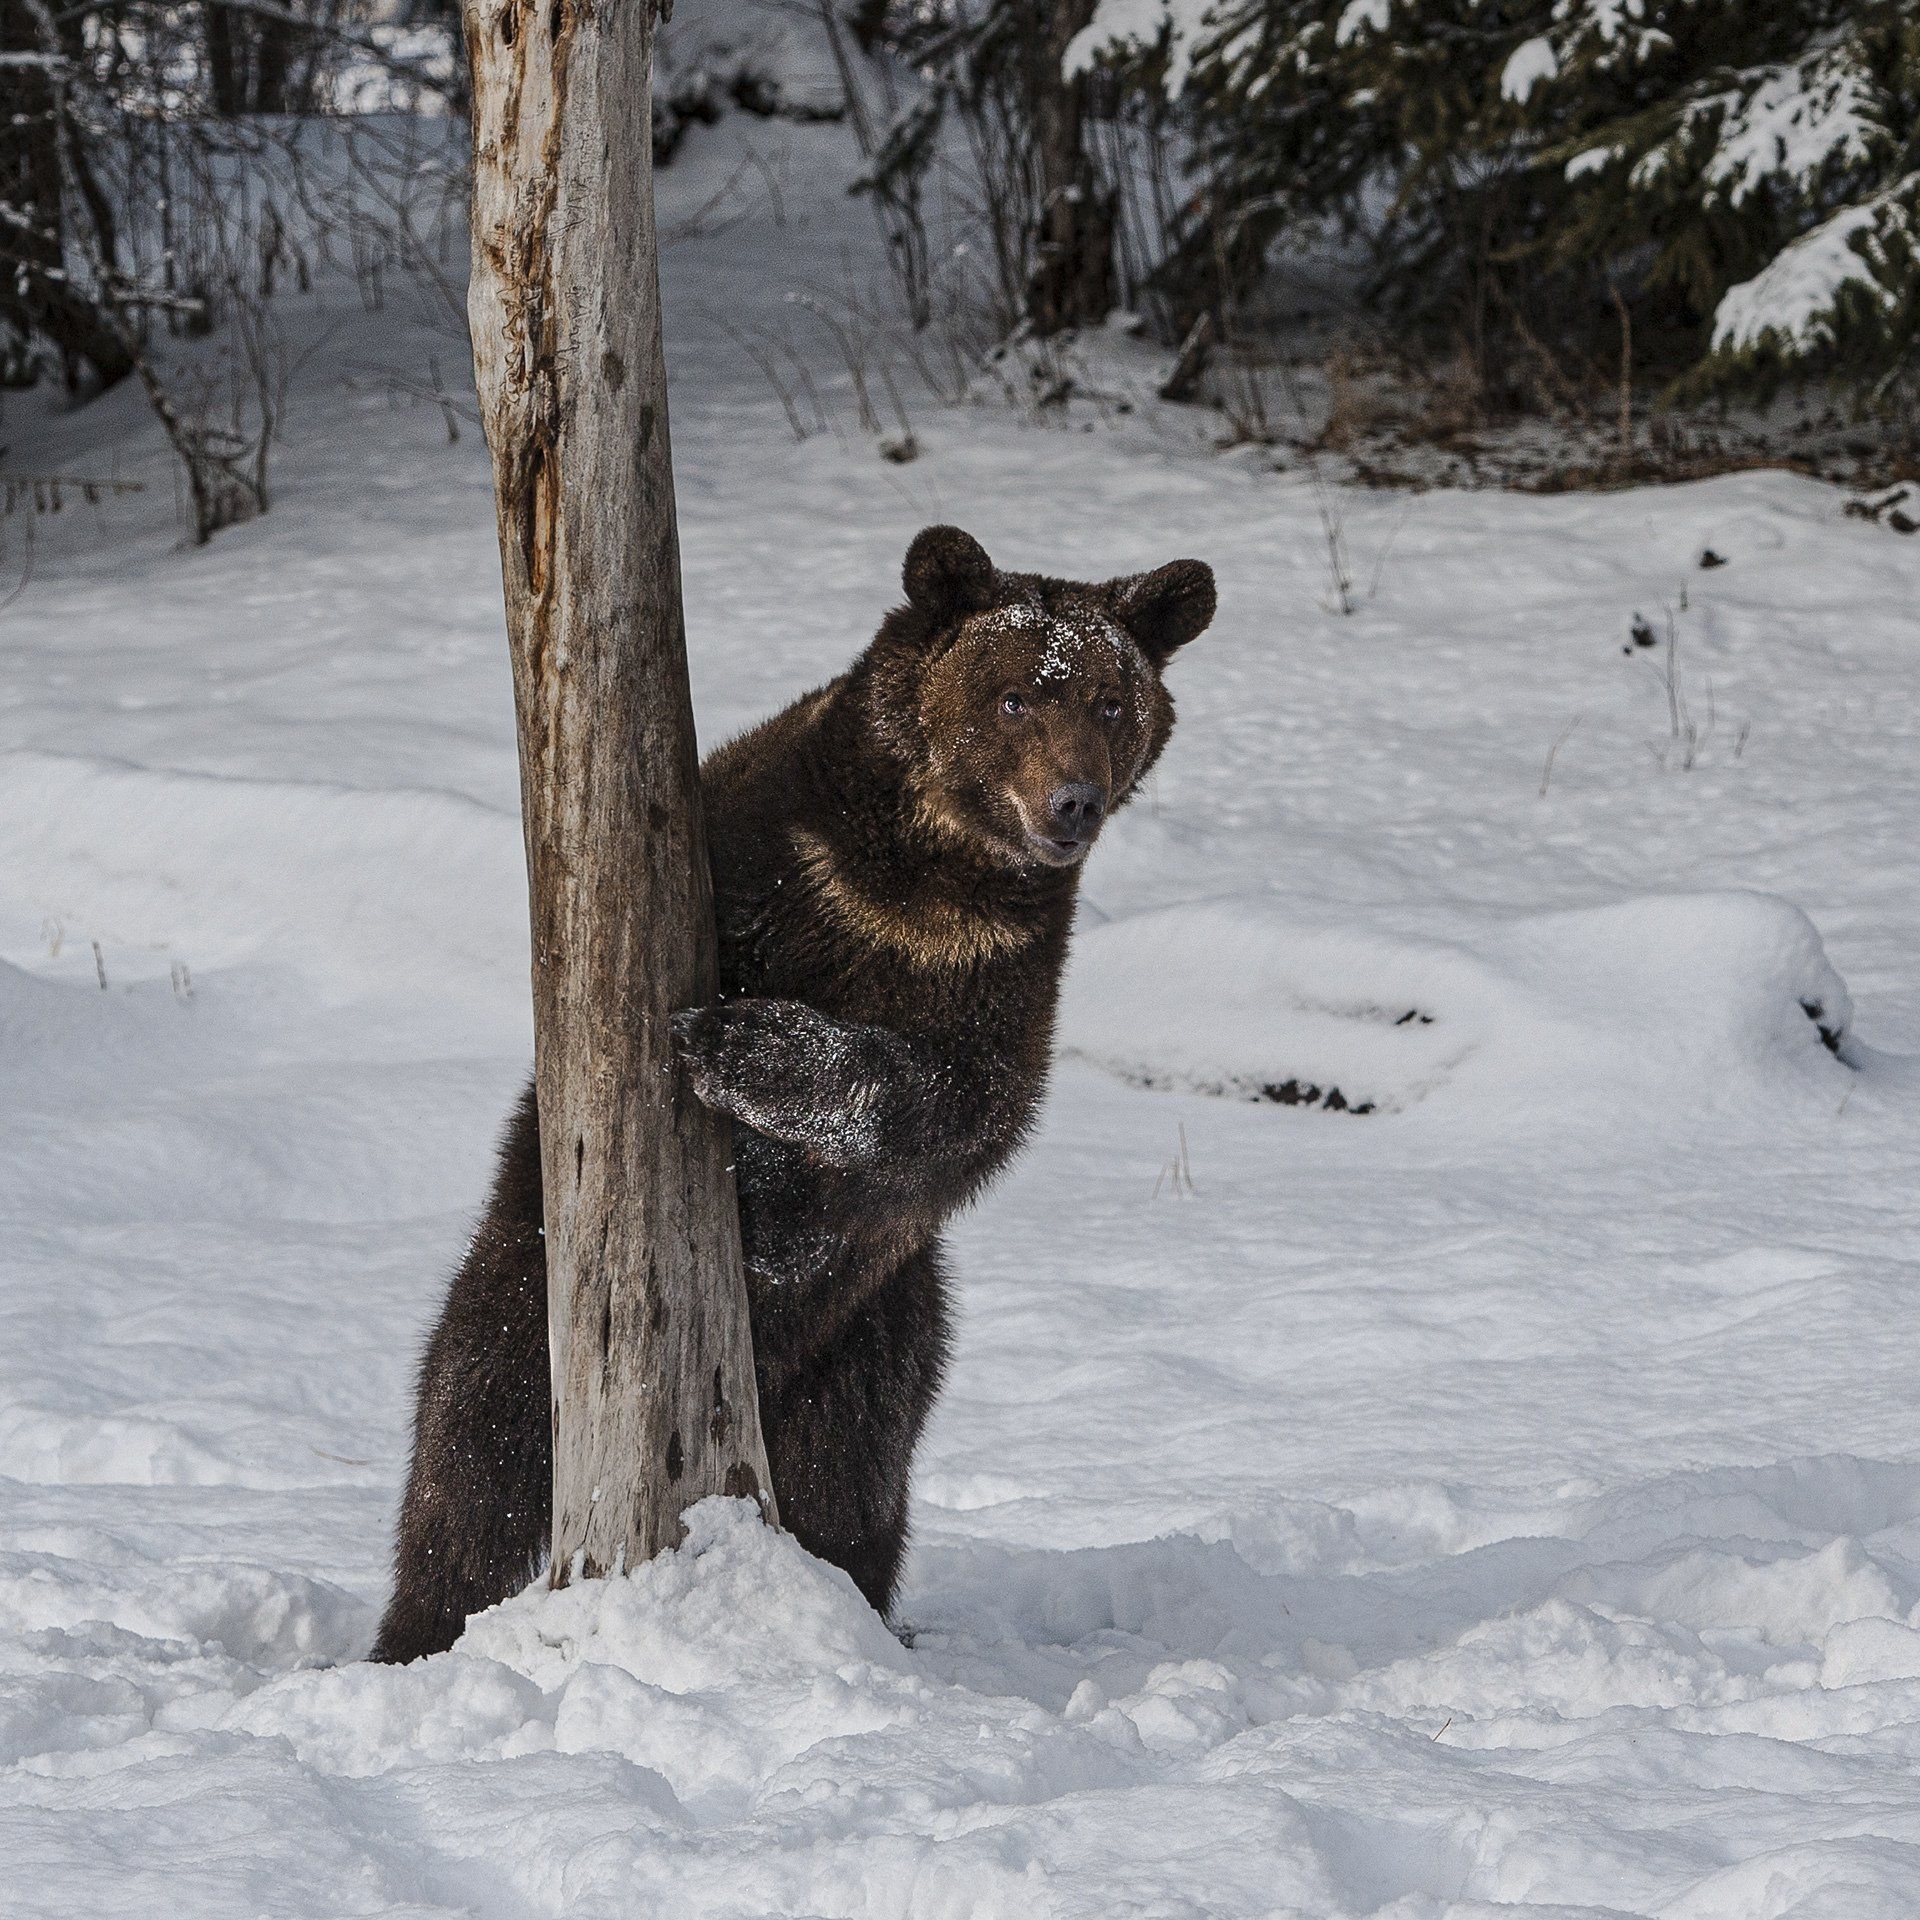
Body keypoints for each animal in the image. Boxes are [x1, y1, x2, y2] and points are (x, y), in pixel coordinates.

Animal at [369, 525, 1216, 1663]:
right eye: (1013, 697)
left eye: (1111, 700)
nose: (1071, 802)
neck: (920, 885)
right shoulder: (757, 857)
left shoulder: (997, 979)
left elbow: (958, 1108)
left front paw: (751, 1051)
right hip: (532, 1287)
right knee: (471, 1456)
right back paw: (413, 1632)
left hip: (873, 1340)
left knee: (851, 1494)